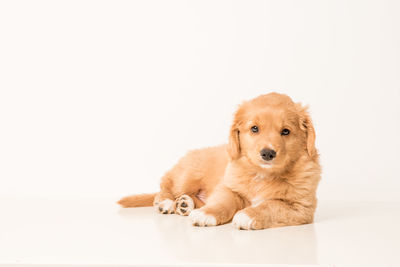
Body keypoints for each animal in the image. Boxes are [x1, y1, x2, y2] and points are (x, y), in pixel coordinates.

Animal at [119, 93, 322, 230]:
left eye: (286, 131)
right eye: (254, 129)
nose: (267, 153)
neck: (263, 173)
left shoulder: (300, 207)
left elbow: (270, 205)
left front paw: (247, 215)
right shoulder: (228, 187)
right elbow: (223, 202)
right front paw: (206, 214)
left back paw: (185, 204)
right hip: (187, 175)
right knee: (164, 188)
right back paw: (168, 203)